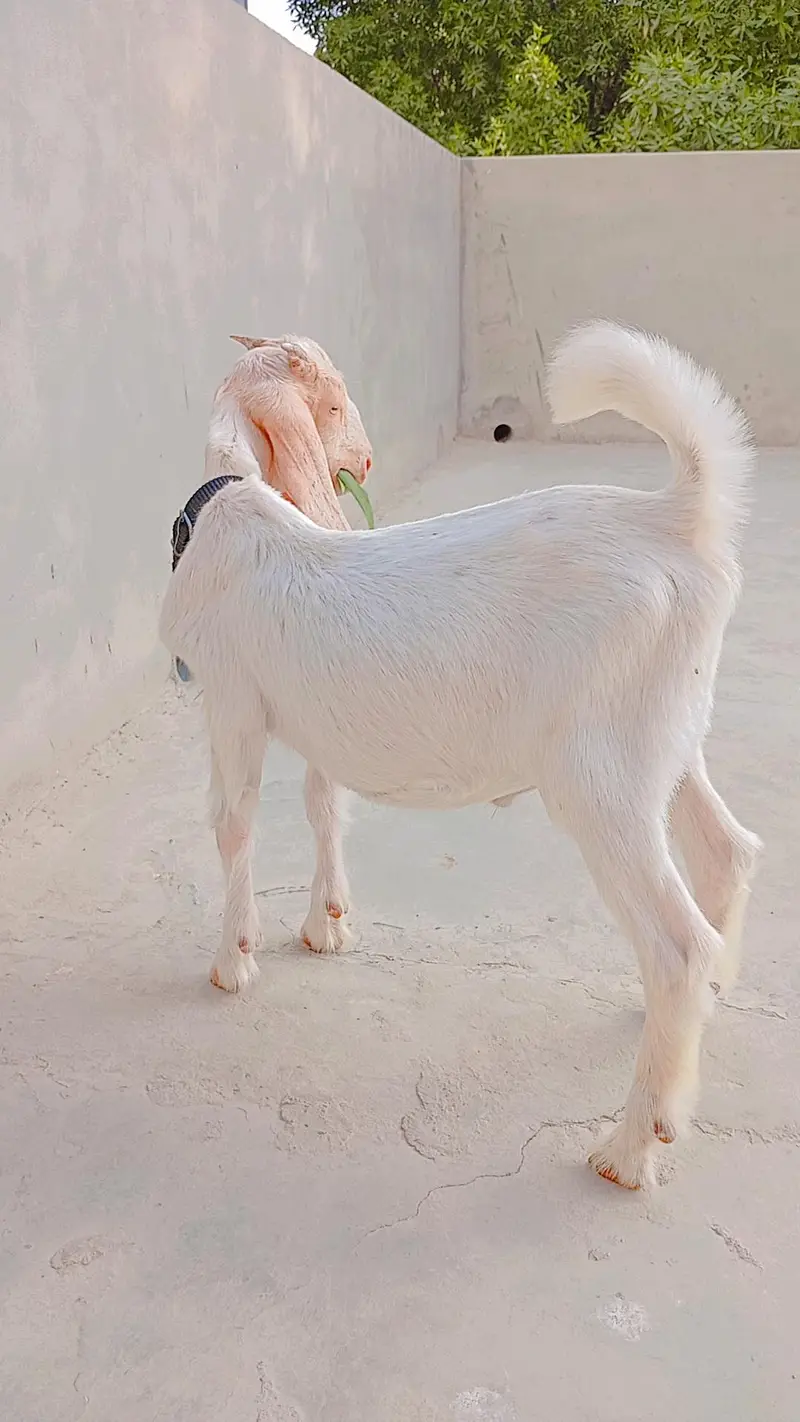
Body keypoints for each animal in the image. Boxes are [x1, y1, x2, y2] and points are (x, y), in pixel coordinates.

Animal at [160, 322, 762, 1190]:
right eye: (333, 401)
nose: (365, 462)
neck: (231, 506)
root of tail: (677, 516)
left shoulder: (233, 704)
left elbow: (233, 823)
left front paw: (232, 962)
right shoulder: (312, 721)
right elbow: (322, 803)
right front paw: (325, 923)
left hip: (599, 780)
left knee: (678, 946)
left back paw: (630, 1147)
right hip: (665, 739)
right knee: (725, 854)